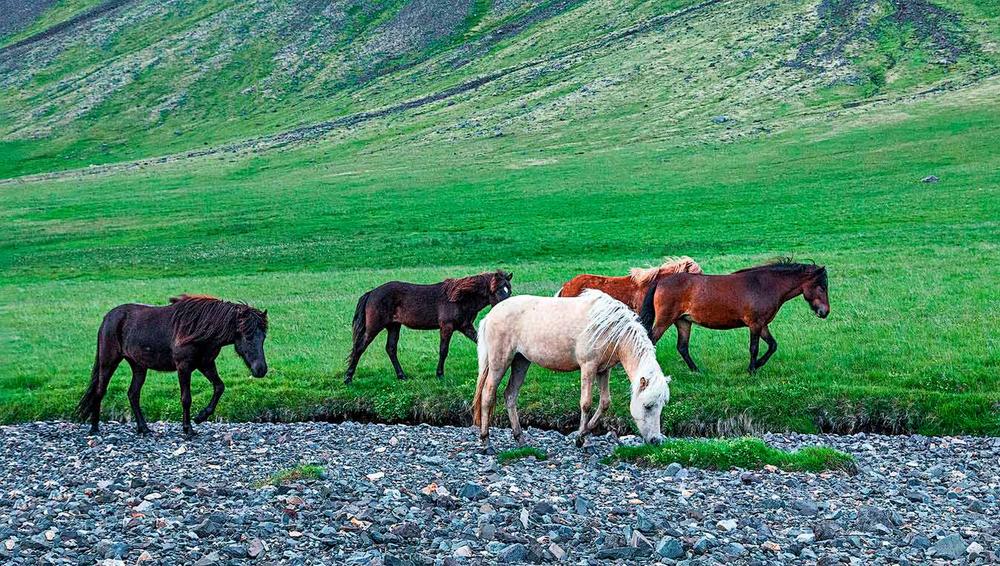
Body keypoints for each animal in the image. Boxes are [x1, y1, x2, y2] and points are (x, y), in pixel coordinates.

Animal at [75, 296, 268, 442]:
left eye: (263, 337)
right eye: (247, 336)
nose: (261, 370)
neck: (199, 328)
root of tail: (108, 318)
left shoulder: (206, 364)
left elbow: (219, 387)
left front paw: (201, 417)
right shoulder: (184, 367)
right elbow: (186, 398)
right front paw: (188, 428)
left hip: (138, 366)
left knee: (133, 394)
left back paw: (144, 429)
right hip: (108, 361)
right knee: (100, 390)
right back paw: (94, 428)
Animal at [346, 272, 516, 386]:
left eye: (509, 289)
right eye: (498, 290)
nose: (509, 309)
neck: (459, 298)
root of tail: (371, 293)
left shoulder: (465, 326)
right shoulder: (446, 326)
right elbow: (443, 350)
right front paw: (439, 375)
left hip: (394, 326)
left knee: (391, 348)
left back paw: (402, 376)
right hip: (375, 327)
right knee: (360, 347)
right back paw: (348, 378)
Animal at [470, 292, 672, 452]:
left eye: (661, 406)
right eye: (648, 406)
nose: (656, 440)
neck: (611, 329)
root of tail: (490, 315)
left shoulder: (603, 370)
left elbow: (604, 403)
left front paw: (586, 435)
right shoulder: (588, 367)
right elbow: (586, 403)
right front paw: (581, 438)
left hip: (521, 361)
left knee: (510, 395)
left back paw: (521, 439)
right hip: (499, 362)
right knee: (488, 395)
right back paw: (486, 441)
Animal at [640, 262, 828, 378]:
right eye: (821, 286)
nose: (825, 312)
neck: (764, 286)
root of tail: (661, 282)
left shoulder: (762, 325)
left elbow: (772, 345)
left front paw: (758, 365)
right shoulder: (755, 324)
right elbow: (754, 348)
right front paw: (752, 370)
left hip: (683, 322)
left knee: (682, 347)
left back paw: (696, 370)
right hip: (665, 320)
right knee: (651, 341)